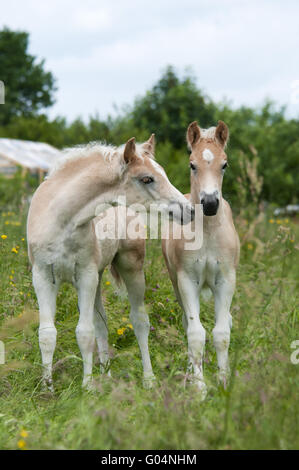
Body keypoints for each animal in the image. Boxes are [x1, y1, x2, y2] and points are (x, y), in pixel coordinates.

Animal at [27, 135, 193, 390]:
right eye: (147, 178)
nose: (189, 210)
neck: (61, 221)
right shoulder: (43, 277)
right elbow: (47, 334)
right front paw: (47, 388)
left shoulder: (85, 275)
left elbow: (84, 332)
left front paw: (87, 387)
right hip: (97, 276)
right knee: (101, 323)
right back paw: (106, 373)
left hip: (130, 267)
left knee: (139, 321)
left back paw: (148, 379)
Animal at [163, 121, 240, 396]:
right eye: (192, 164)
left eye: (224, 164)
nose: (209, 203)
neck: (207, 232)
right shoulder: (187, 281)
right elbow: (196, 334)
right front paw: (199, 388)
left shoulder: (226, 281)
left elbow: (221, 333)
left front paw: (224, 383)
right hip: (176, 285)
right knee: (188, 324)